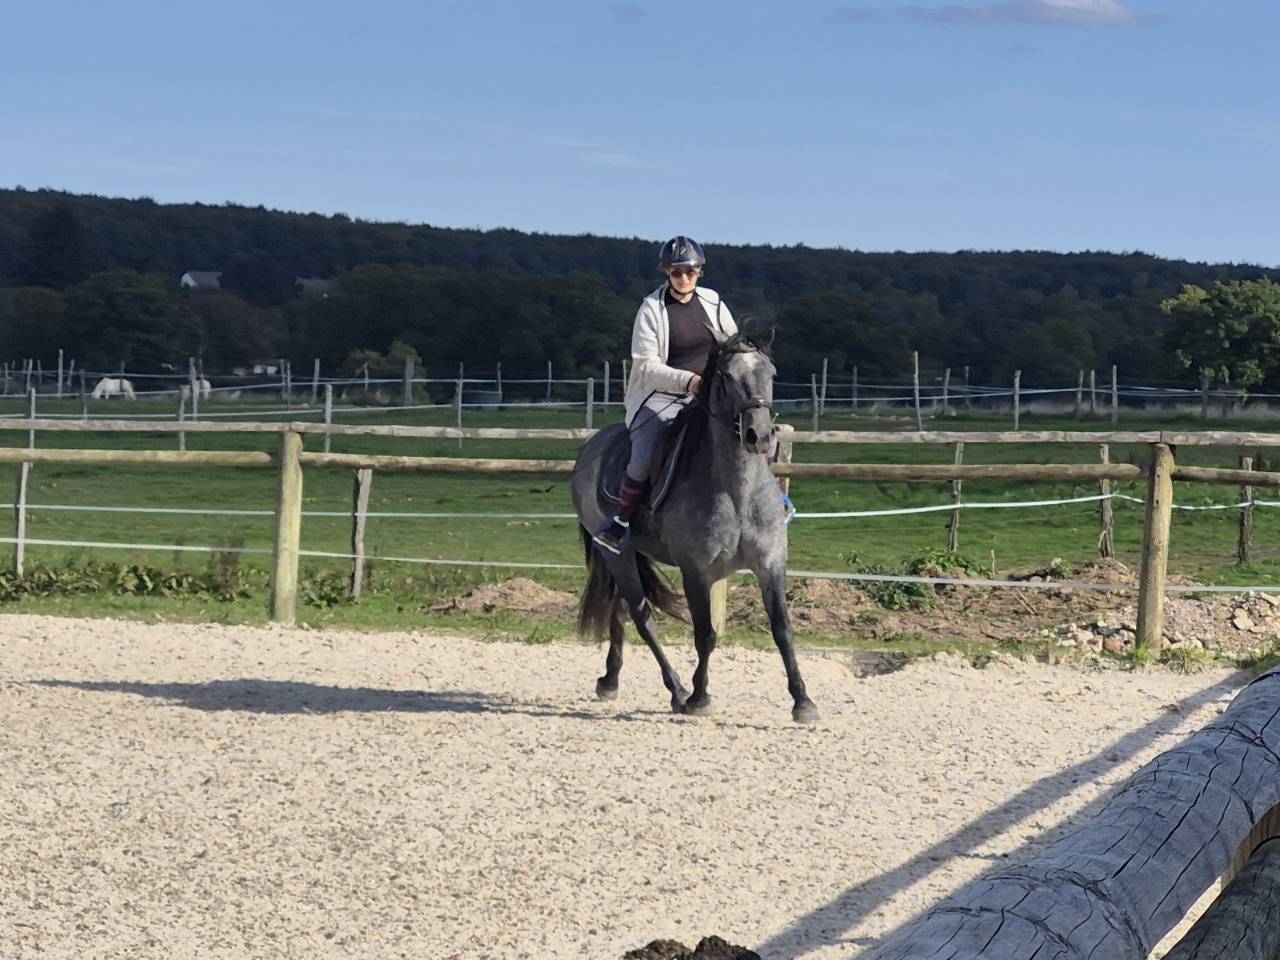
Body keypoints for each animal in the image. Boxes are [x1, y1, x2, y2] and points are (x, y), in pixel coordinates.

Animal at [571, 332, 818, 723]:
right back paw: (676, 690)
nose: (759, 435)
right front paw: (699, 697)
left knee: (620, 607)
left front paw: (803, 701)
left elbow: (782, 629)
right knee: (642, 616)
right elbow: (706, 635)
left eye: (772, 373)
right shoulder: (697, 572)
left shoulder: (770, 564)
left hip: (625, 556)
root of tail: (592, 446)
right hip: (617, 554)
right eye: (727, 376)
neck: (737, 491)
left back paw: (610, 680)